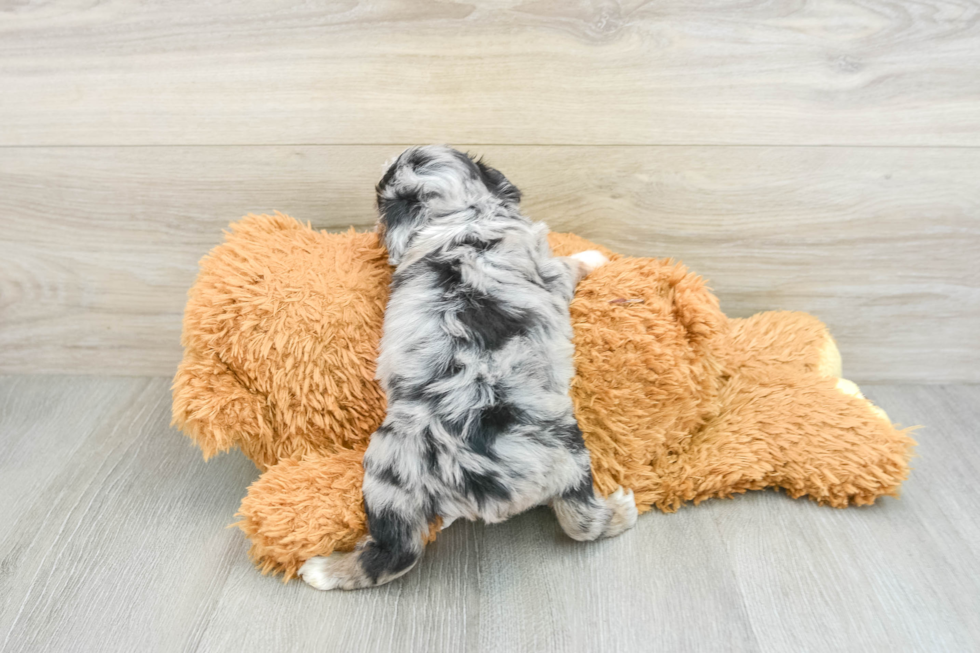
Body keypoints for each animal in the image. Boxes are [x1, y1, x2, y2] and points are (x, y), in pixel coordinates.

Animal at [298, 148, 636, 592]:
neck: (461, 217)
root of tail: (472, 478)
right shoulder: (549, 271)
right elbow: (569, 264)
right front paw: (593, 257)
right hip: (569, 454)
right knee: (579, 523)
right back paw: (621, 512)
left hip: (389, 479)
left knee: (397, 548)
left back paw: (323, 572)